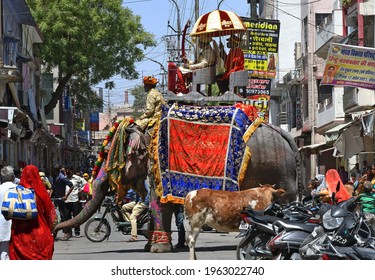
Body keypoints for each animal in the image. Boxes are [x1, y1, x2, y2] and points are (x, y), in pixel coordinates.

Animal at [54, 104, 304, 253]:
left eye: (107, 154)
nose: (56, 232)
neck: (146, 130)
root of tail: (285, 135)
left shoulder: (158, 162)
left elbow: (158, 202)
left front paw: (158, 250)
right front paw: (149, 246)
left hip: (279, 169)